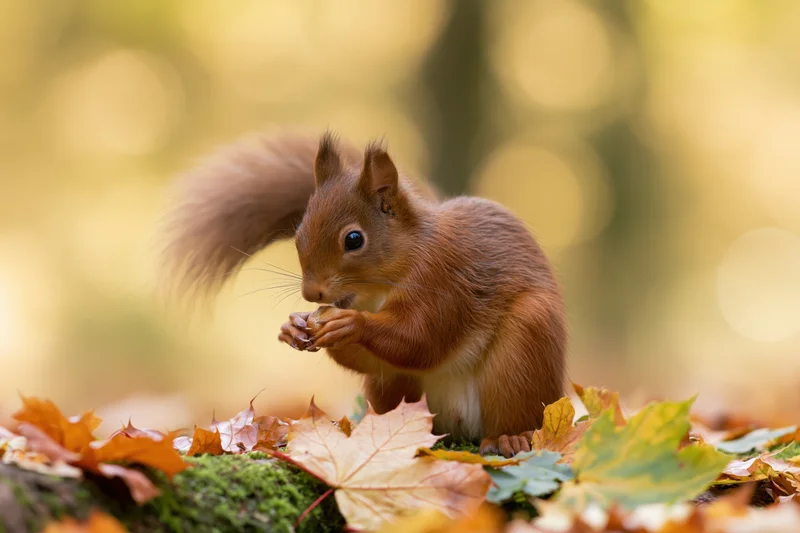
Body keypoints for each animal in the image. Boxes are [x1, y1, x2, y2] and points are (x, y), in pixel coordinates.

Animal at [160, 131, 567, 457]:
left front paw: (351, 325)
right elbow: (383, 358)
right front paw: (293, 328)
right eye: (298, 234)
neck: (382, 284)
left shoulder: (445, 281)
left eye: (354, 240)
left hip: (526, 349)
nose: (311, 294)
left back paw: (510, 438)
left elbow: (422, 340)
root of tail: (460, 429)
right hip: (399, 391)